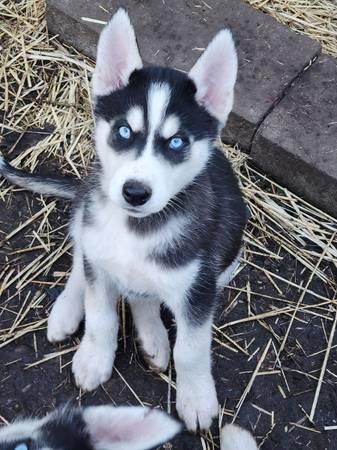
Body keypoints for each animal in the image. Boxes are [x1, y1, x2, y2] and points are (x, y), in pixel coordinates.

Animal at [0, 8, 247, 430]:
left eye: (177, 142)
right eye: (124, 131)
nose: (134, 192)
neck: (136, 231)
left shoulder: (198, 289)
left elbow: (191, 349)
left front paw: (197, 397)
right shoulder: (100, 259)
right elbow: (101, 316)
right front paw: (93, 358)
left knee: (143, 295)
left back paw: (153, 337)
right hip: (86, 216)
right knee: (82, 262)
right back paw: (68, 311)